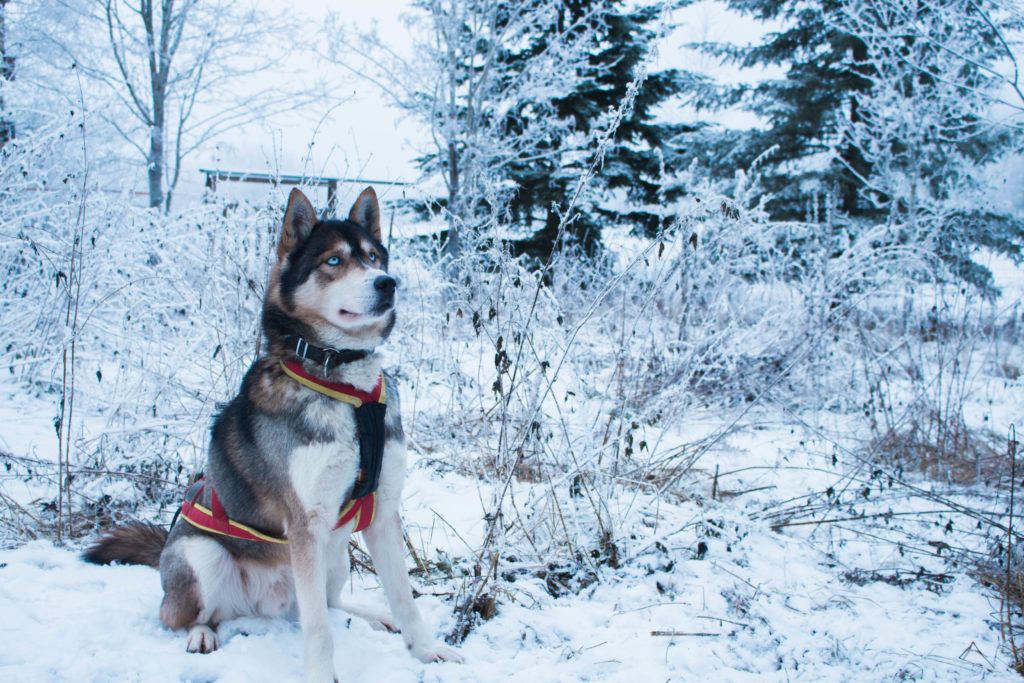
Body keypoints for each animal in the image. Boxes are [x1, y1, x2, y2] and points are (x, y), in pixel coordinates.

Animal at [86, 185, 466, 679]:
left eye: (373, 257)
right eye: (334, 260)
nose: (388, 283)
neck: (347, 386)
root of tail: (263, 605)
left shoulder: (381, 513)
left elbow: (404, 598)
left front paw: (426, 649)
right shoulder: (306, 523)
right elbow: (318, 631)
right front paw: (323, 676)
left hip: (335, 556)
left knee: (327, 602)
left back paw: (371, 615)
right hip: (204, 557)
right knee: (186, 615)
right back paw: (201, 634)